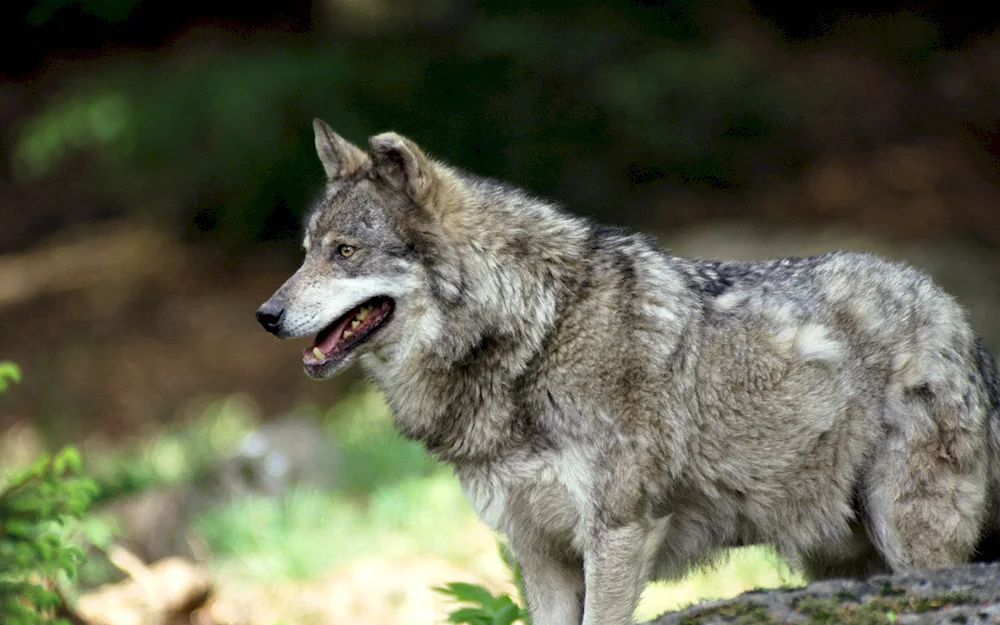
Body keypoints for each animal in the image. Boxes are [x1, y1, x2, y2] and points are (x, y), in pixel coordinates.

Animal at [256, 118, 1000, 624]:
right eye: (306, 251)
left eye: (344, 251)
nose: (266, 314)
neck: (536, 333)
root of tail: (958, 317)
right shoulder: (539, 552)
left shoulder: (617, 533)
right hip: (837, 557)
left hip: (909, 539)